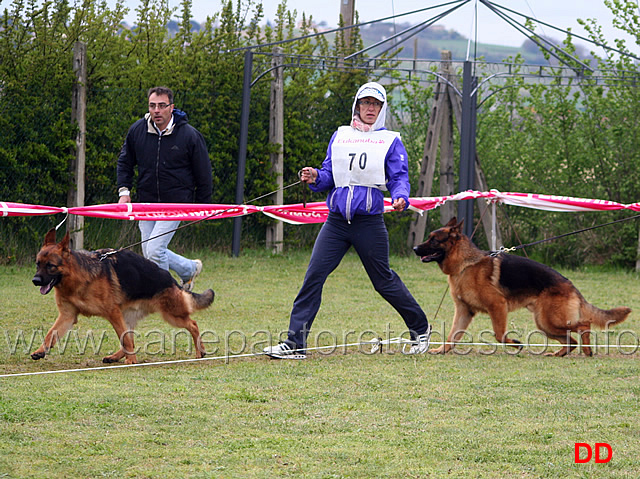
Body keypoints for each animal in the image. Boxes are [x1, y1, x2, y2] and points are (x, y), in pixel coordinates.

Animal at [31, 229, 215, 364]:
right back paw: (116, 357)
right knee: (131, 338)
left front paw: (132, 361)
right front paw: (40, 351)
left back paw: (200, 350)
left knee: (192, 324)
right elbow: (50, 334)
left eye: (51, 266)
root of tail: (171, 279)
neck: (77, 278)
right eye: (38, 264)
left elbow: (124, 338)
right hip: (128, 315)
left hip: (171, 314)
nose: (35, 280)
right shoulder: (67, 316)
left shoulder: (112, 312)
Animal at [416, 218, 632, 356]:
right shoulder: (464, 311)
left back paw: (586, 350)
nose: (415, 248)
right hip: (544, 324)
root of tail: (570, 285)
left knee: (584, 325)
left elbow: (499, 335)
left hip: (550, 320)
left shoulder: (497, 306)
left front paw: (516, 345)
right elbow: (452, 335)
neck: (465, 265)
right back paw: (561, 353)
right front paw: (441, 350)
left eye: (433, 240)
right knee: (571, 340)